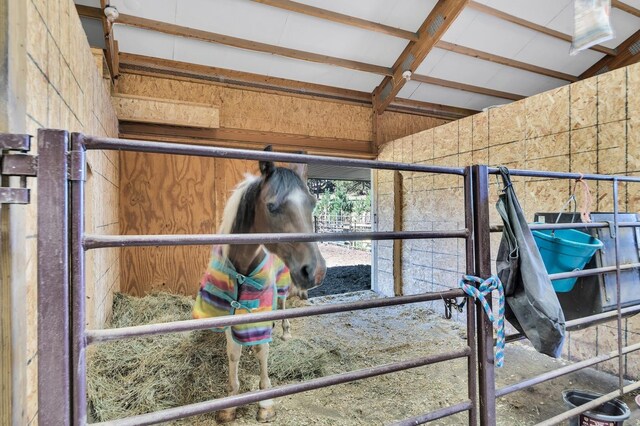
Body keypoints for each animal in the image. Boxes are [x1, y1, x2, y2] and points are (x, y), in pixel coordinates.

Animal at [192, 150, 328, 422]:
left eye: (312, 203)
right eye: (272, 207)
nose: (315, 271)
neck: (242, 267)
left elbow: (261, 351)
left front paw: (265, 402)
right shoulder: (230, 311)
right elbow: (233, 352)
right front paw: (231, 401)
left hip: (283, 286)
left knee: (283, 306)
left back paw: (284, 330)